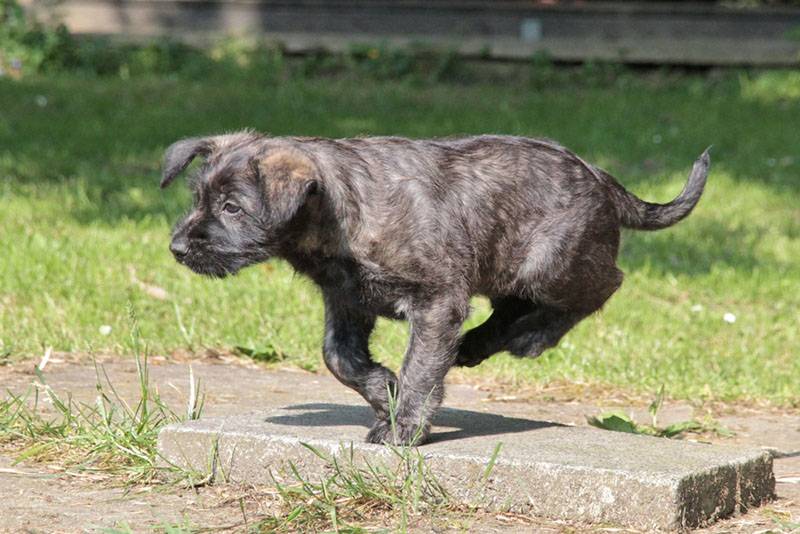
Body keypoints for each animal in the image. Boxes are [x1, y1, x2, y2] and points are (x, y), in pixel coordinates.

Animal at [159, 133, 708, 448]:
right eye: (200, 198)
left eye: (232, 207)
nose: (178, 248)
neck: (340, 216)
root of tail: (601, 177)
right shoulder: (348, 301)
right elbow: (340, 358)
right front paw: (384, 391)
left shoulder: (436, 301)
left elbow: (421, 368)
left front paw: (404, 425)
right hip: (507, 266)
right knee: (511, 308)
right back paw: (477, 344)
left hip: (552, 264)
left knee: (602, 285)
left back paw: (532, 338)